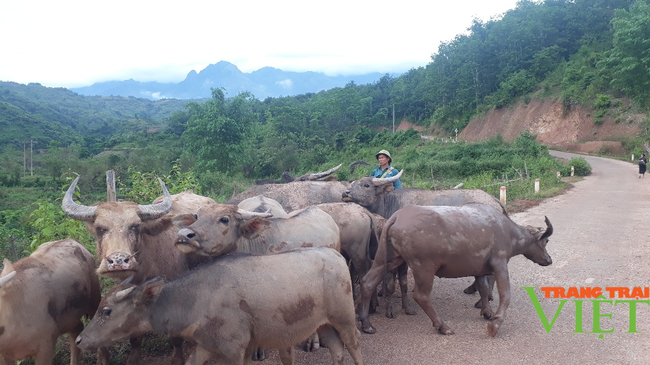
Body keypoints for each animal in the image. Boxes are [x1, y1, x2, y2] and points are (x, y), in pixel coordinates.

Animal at [60, 176, 214, 364]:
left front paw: (177, 358)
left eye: (135, 226)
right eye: (100, 229)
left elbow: (176, 335)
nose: (118, 261)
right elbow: (133, 335)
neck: (146, 269)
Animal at [74, 246, 364, 364]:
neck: (198, 298)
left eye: (107, 311)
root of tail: (335, 254)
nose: (79, 340)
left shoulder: (234, 349)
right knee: (337, 349)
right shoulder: (206, 345)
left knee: (353, 346)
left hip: (345, 318)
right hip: (323, 324)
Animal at [356, 202, 548, 336]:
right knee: (421, 296)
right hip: (424, 267)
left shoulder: (479, 269)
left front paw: (486, 311)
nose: (549, 259)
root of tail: (397, 216)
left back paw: (366, 324)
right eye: (546, 241)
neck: (506, 231)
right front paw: (495, 323)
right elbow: (505, 295)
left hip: (387, 259)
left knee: (367, 282)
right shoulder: (499, 262)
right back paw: (443, 326)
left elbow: (483, 289)